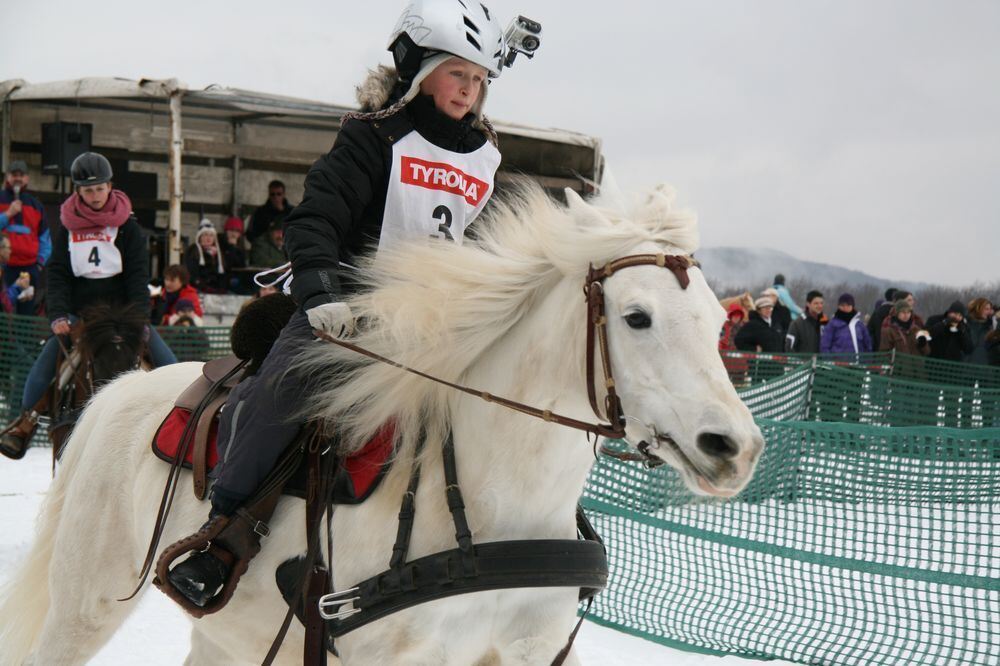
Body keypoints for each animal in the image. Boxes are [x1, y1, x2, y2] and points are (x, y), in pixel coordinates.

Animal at [1, 183, 764, 664]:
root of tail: (119, 392)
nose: (735, 447)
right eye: (636, 317)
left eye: (717, 321)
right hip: (84, 605)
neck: (489, 507)